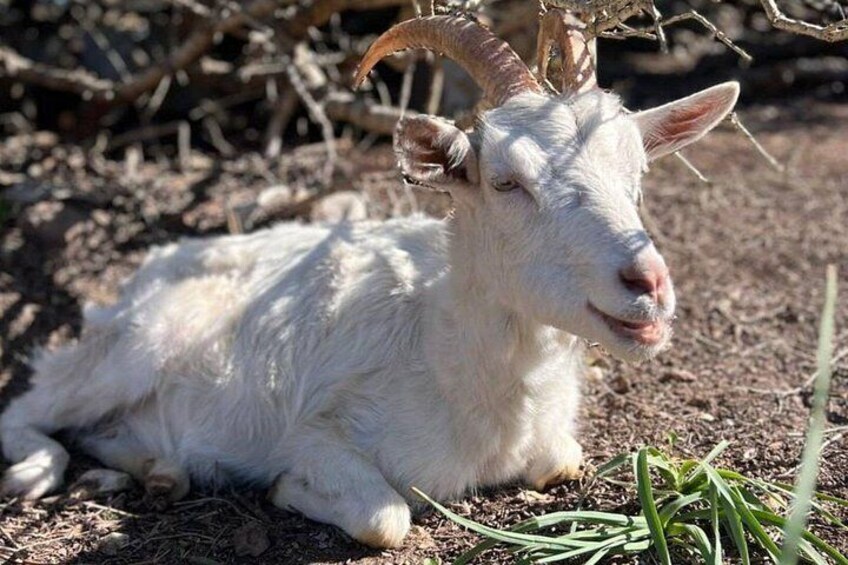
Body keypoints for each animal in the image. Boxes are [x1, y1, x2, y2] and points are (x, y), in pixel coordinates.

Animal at [0, 14, 739, 548]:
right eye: (507, 181)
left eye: (637, 175)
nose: (648, 283)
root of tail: (147, 270)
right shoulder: (314, 430)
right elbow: (386, 517)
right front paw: (287, 490)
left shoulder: (554, 445)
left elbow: (561, 458)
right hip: (137, 345)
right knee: (30, 406)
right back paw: (39, 469)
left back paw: (159, 470)